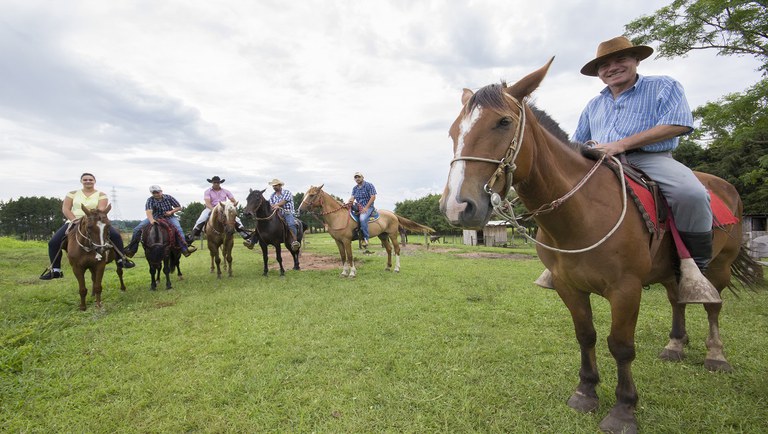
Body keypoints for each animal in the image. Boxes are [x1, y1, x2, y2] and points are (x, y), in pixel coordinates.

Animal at [298, 185, 436, 276]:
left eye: (312, 195)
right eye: (305, 194)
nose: (300, 210)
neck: (338, 217)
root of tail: (392, 214)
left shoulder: (346, 240)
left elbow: (350, 256)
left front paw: (352, 273)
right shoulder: (338, 241)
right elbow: (343, 256)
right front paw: (344, 272)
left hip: (392, 235)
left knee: (397, 249)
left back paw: (397, 268)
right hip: (383, 236)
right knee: (389, 249)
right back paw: (387, 267)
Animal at [440, 58, 764, 434]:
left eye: (503, 122)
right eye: (453, 132)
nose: (457, 207)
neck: (583, 211)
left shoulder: (626, 289)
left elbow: (621, 346)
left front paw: (623, 409)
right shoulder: (568, 286)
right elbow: (586, 335)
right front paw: (586, 391)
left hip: (720, 266)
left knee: (712, 306)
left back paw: (716, 355)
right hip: (670, 271)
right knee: (677, 300)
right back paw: (675, 345)